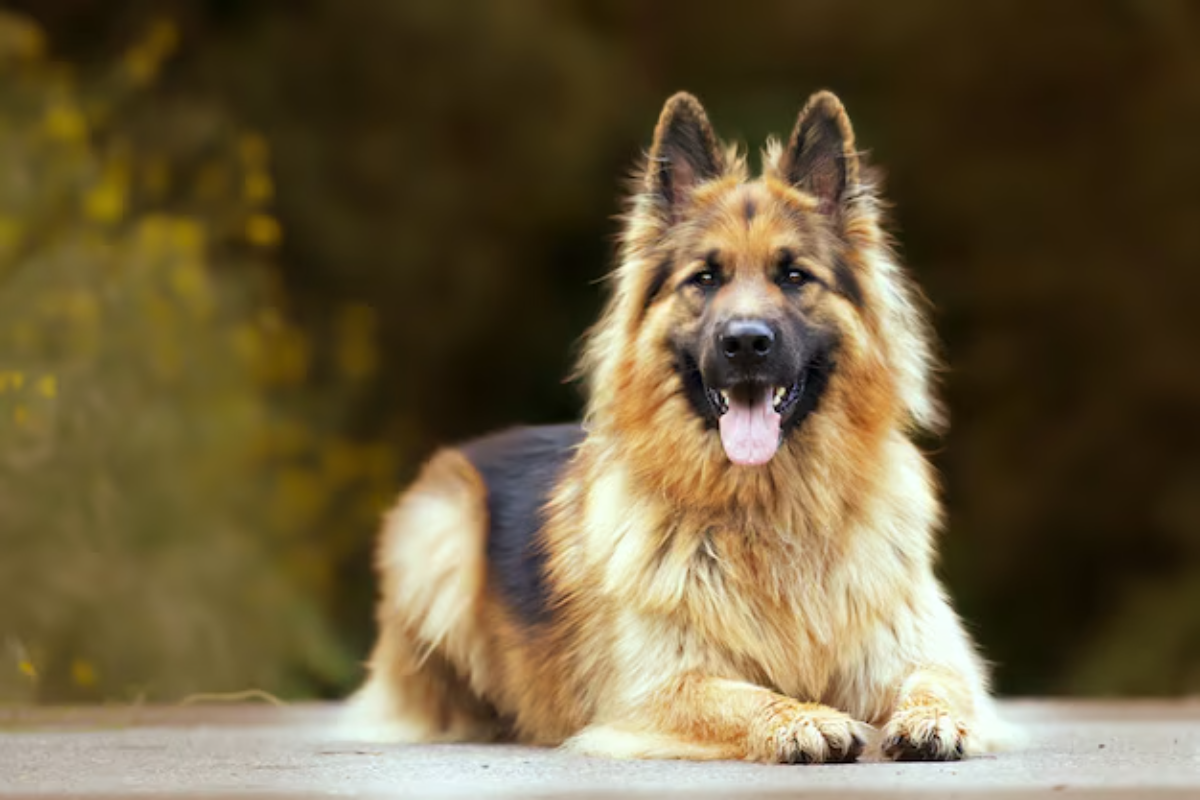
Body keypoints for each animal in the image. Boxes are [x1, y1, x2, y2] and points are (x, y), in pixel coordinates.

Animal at [345, 89, 1003, 762]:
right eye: (705, 278)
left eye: (794, 275)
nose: (746, 343)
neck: (767, 511)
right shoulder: (659, 687)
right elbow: (743, 696)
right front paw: (802, 719)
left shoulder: (916, 650)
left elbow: (937, 679)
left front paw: (933, 719)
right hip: (442, 529)